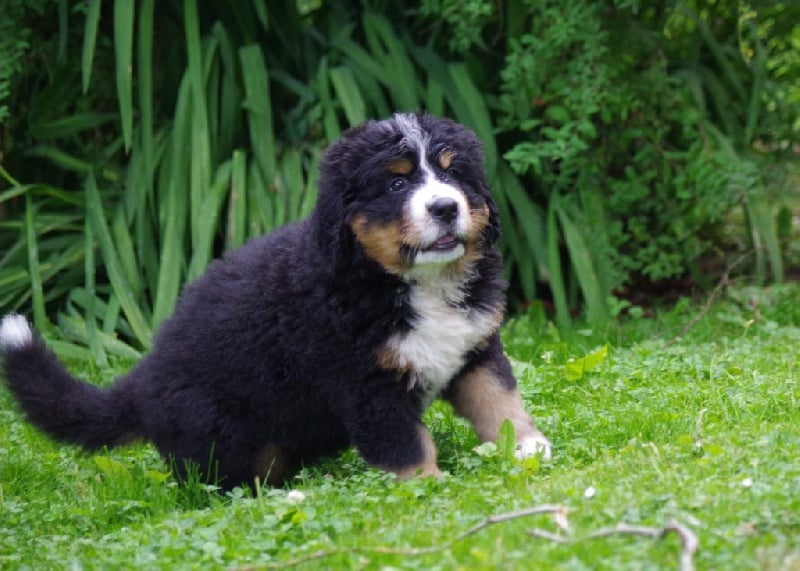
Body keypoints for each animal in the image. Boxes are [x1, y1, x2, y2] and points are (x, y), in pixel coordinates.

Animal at [0, 113, 552, 492]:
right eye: (397, 183)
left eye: (453, 175)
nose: (444, 207)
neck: (414, 282)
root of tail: (143, 379)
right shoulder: (367, 385)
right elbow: (405, 445)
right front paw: (428, 487)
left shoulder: (474, 346)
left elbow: (498, 398)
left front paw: (528, 446)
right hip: (223, 429)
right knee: (224, 487)